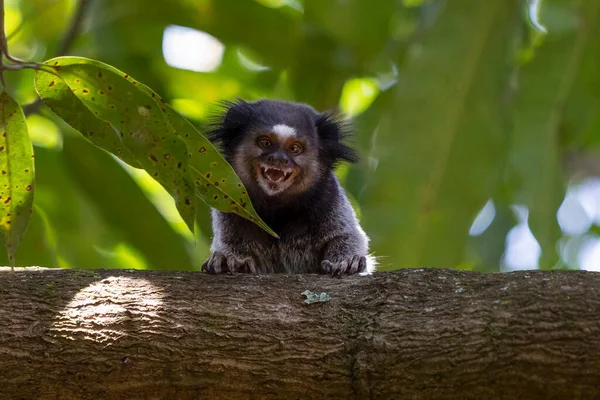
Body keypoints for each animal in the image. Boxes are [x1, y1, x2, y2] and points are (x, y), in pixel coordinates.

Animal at [204, 98, 376, 276]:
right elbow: (230, 242)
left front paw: (346, 262)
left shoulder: (329, 196)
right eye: (265, 143)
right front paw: (230, 261)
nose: (278, 159)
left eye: (294, 148)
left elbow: (347, 236)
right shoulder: (230, 199)